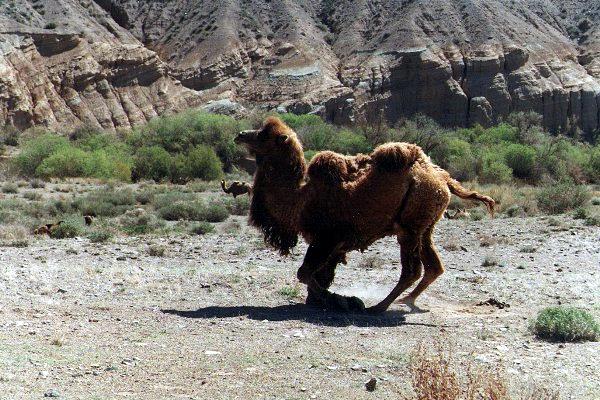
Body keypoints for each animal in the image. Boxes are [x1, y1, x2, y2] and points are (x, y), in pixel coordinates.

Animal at [223, 117, 494, 314]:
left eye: (263, 135)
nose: (240, 134)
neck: (299, 197)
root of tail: (444, 177)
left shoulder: (327, 237)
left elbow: (305, 273)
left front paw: (343, 301)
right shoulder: (331, 245)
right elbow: (320, 275)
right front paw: (321, 301)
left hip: (410, 227)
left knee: (412, 270)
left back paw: (379, 306)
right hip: (425, 225)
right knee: (433, 266)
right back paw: (407, 301)